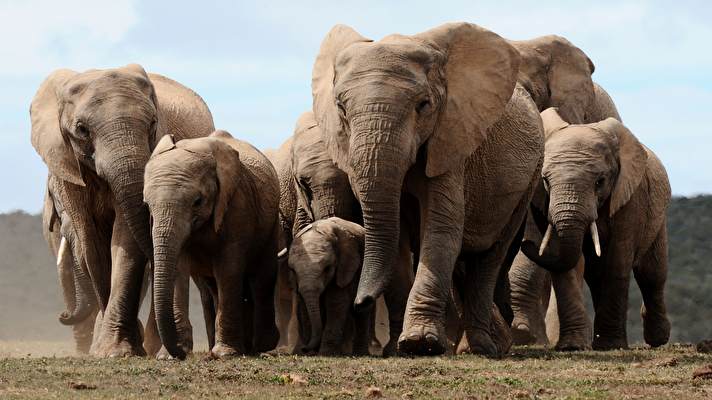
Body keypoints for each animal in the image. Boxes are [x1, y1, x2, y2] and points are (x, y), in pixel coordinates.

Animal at [29, 65, 214, 356]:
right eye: (81, 129)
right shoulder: (67, 168)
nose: (62, 315)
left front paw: (118, 350)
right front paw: (110, 349)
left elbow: (125, 239)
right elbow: (92, 244)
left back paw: (158, 348)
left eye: (153, 124)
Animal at [143, 131, 280, 360]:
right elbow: (178, 268)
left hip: (271, 224)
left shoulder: (237, 204)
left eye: (197, 201)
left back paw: (260, 346)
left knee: (262, 277)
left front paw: (225, 354)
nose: (181, 353)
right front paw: (168, 356)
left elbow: (229, 268)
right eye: (147, 205)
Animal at [286, 217, 372, 354]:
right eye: (293, 270)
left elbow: (335, 302)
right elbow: (304, 304)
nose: (305, 349)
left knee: (361, 312)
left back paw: (360, 353)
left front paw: (325, 353)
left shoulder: (345, 266)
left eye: (327, 268)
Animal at [308, 21, 544, 354]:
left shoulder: (451, 141)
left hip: (530, 178)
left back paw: (481, 348)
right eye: (341, 108)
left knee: (491, 256)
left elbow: (441, 228)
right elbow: (398, 239)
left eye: (423, 106)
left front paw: (420, 344)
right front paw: (398, 350)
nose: (360, 302)